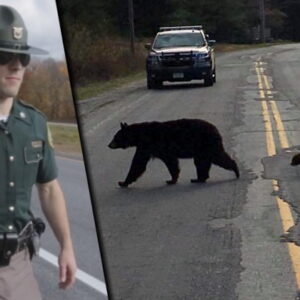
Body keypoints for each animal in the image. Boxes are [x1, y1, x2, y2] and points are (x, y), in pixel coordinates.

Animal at [108, 118, 239, 186]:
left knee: (217, 157)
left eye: (115, 137)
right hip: (202, 149)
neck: (139, 135)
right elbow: (140, 162)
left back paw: (236, 170)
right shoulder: (146, 147)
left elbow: (138, 163)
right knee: (202, 163)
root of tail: (216, 129)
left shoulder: (149, 145)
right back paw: (199, 178)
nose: (109, 145)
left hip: (207, 144)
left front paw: (122, 182)